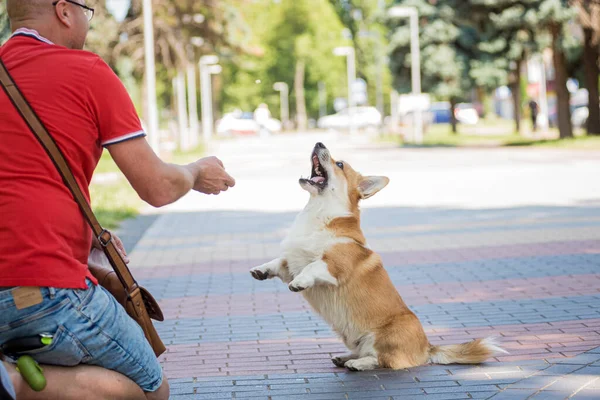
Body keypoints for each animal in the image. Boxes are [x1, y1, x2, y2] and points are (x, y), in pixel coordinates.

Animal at [248, 142, 506, 370]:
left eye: (339, 164)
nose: (319, 142)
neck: (318, 215)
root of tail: (427, 348)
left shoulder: (334, 266)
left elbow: (312, 267)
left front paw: (299, 282)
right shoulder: (292, 260)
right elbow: (277, 263)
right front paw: (260, 270)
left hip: (382, 337)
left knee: (382, 360)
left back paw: (357, 364)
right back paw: (344, 357)